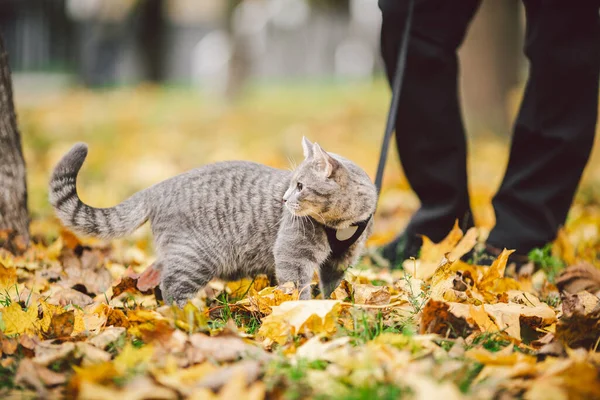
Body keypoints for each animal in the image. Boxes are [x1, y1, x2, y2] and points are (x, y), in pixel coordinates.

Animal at [49, 138, 378, 306]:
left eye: (299, 186)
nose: (284, 200)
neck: (341, 223)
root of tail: (159, 186)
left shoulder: (340, 260)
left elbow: (331, 286)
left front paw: (332, 307)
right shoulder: (293, 256)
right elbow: (296, 289)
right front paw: (303, 314)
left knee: (152, 275)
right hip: (197, 257)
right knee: (172, 288)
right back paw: (188, 319)